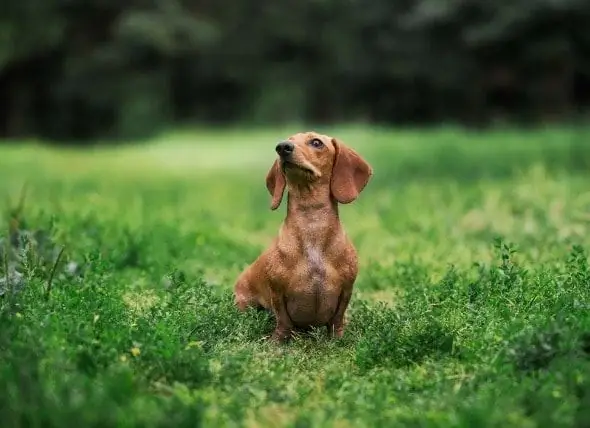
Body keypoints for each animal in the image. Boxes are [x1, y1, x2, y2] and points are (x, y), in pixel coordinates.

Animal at [234, 132, 372, 342]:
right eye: (287, 140)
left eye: (316, 142)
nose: (282, 147)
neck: (311, 224)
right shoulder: (277, 293)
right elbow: (283, 320)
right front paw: (278, 341)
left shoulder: (346, 290)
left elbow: (337, 319)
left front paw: (338, 338)